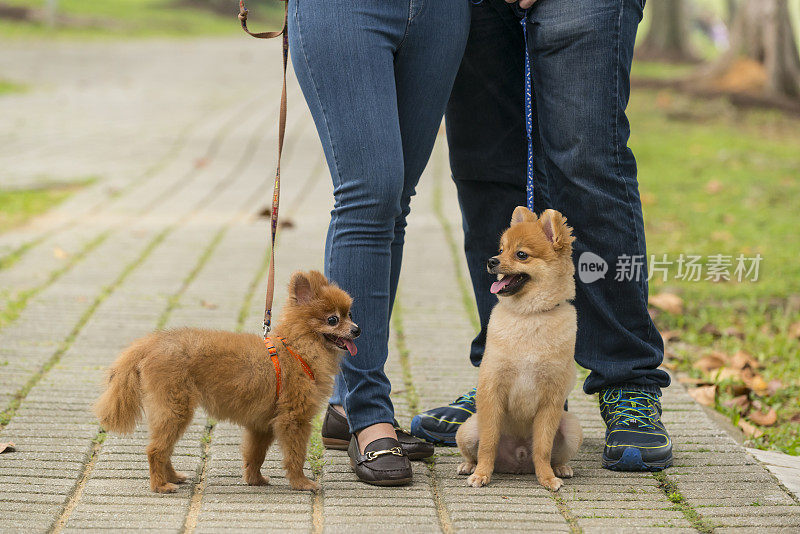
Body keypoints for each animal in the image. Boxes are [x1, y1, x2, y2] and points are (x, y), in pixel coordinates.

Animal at [92, 272, 358, 494]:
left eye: (350, 315)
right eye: (333, 319)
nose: (357, 330)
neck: (296, 348)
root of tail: (151, 343)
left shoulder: (261, 425)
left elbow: (255, 455)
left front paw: (254, 480)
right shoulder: (293, 419)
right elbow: (295, 455)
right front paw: (301, 483)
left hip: (173, 411)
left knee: (163, 448)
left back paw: (173, 477)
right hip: (176, 409)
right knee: (155, 450)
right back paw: (160, 486)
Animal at [456, 207, 580, 492]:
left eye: (521, 254)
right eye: (501, 249)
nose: (491, 261)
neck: (529, 316)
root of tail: (518, 464)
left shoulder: (551, 400)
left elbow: (543, 447)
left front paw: (546, 477)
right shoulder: (492, 391)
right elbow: (488, 443)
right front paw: (482, 474)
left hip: (572, 428)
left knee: (550, 454)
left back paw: (560, 468)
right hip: (467, 429)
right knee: (474, 450)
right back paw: (469, 465)